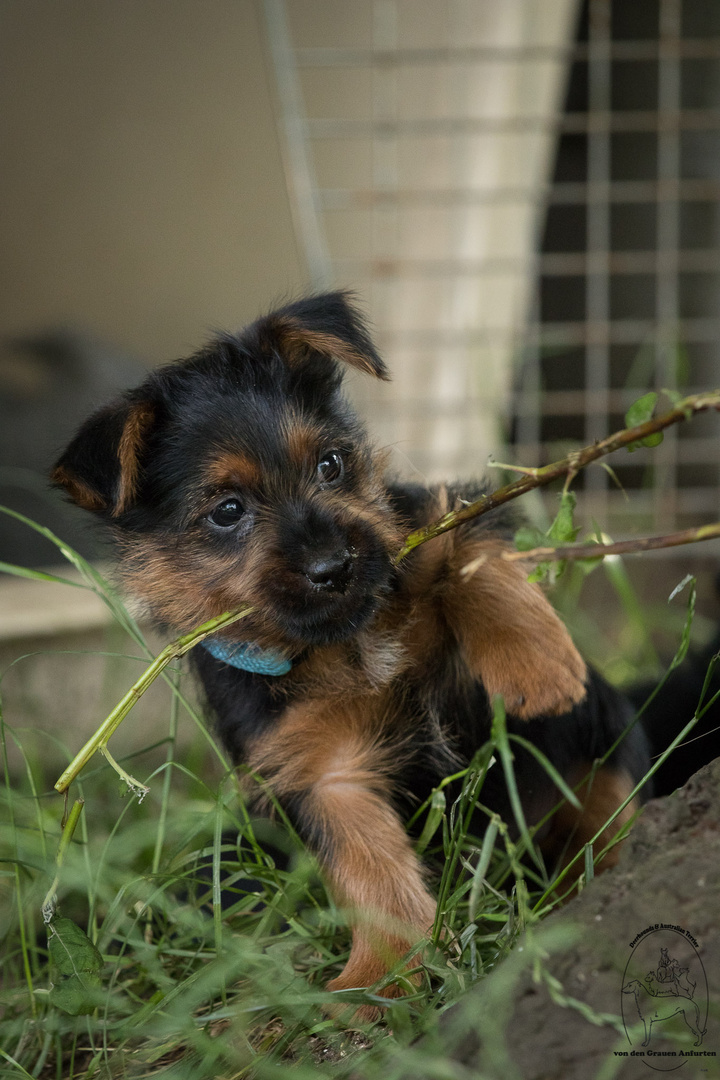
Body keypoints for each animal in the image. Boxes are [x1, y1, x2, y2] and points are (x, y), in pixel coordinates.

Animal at [53, 289, 651, 1010]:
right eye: (227, 511)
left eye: (331, 465)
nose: (333, 566)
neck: (346, 639)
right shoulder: (318, 771)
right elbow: (368, 871)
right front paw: (381, 979)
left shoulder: (431, 519)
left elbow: (468, 557)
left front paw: (532, 662)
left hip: (608, 741)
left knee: (606, 809)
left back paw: (588, 881)